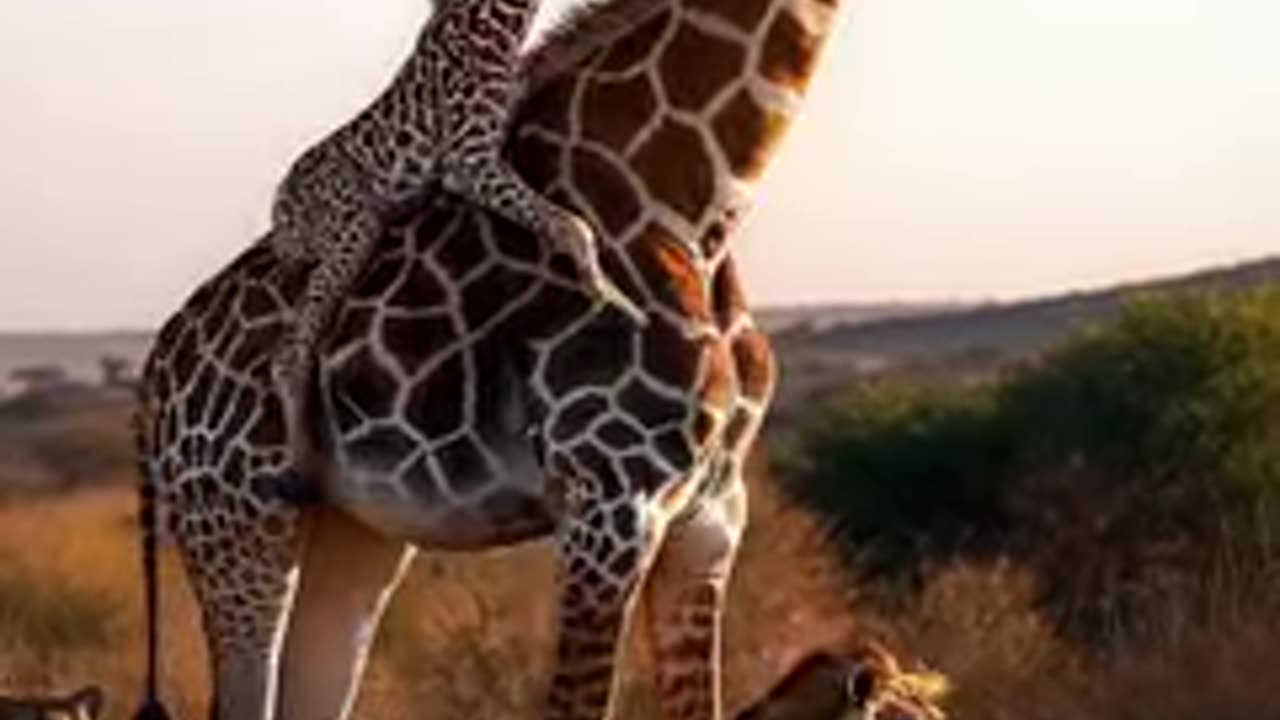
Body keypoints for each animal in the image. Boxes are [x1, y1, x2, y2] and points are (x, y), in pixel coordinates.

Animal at [135, 0, 844, 712]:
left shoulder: (713, 513)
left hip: (352, 534)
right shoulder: (611, 500)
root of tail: (155, 371)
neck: (695, 213)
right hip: (234, 524)